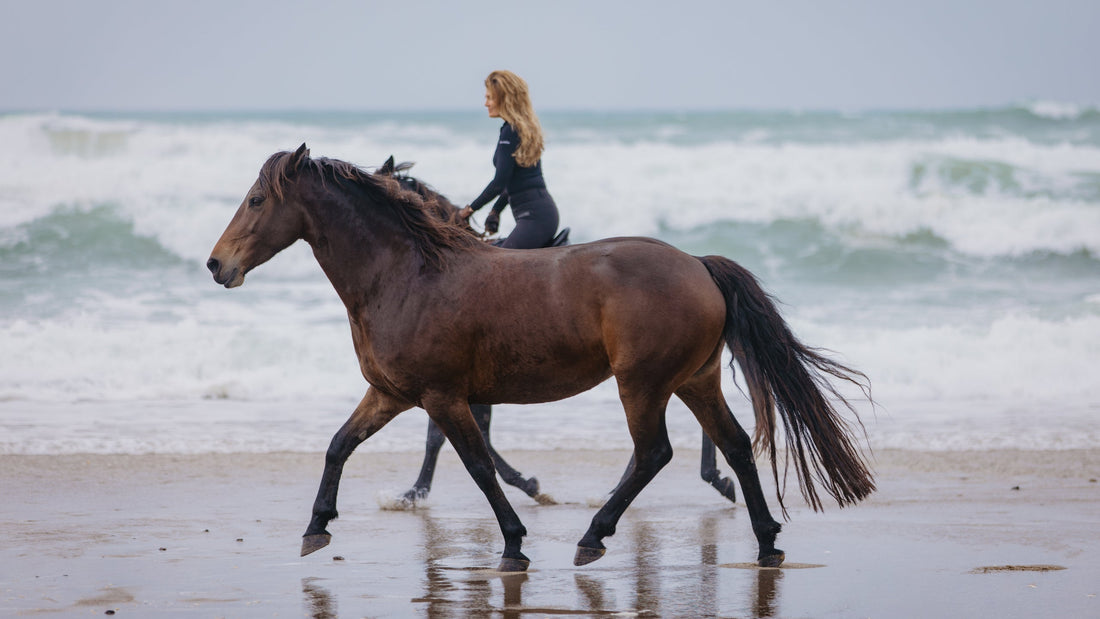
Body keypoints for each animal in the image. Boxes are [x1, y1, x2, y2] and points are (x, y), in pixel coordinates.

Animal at [206, 144, 875, 571]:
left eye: (258, 199)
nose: (217, 265)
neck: (406, 273)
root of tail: (697, 264)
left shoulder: (444, 396)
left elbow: (476, 464)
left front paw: (513, 542)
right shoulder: (392, 393)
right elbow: (339, 445)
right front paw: (316, 527)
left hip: (643, 384)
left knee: (654, 453)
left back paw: (594, 536)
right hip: (695, 380)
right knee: (734, 445)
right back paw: (766, 543)